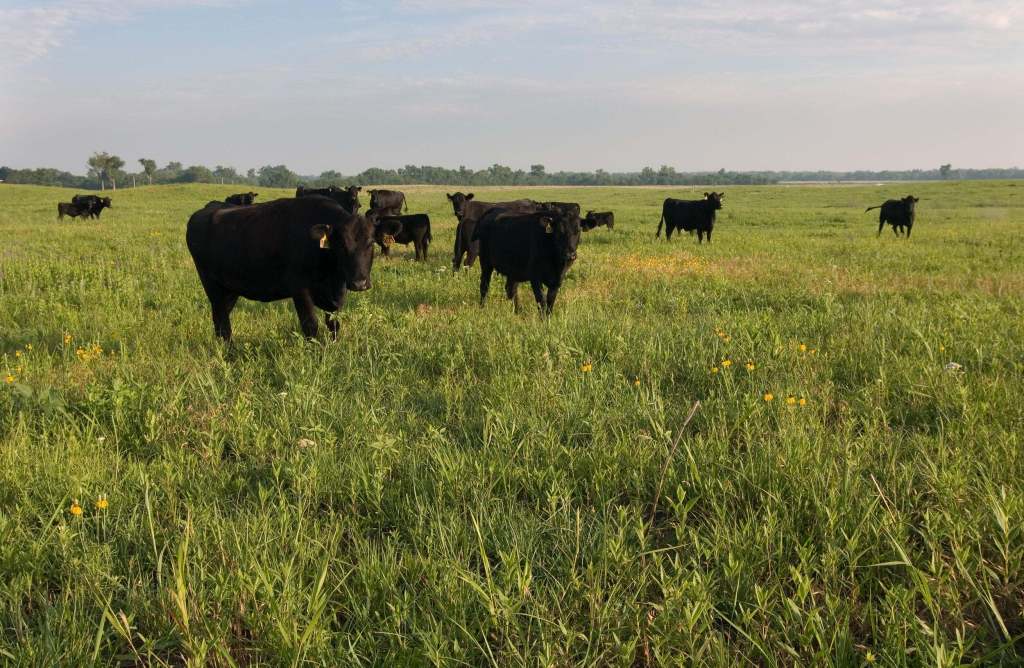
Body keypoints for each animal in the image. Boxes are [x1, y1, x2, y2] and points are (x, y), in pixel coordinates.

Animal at [185, 196, 400, 341]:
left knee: (219, 319)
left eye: (371, 243)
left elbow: (333, 323)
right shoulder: (300, 288)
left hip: (229, 289)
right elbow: (310, 324)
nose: (359, 283)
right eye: (341, 245)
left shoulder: (336, 294)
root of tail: (207, 209)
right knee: (222, 322)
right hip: (211, 285)